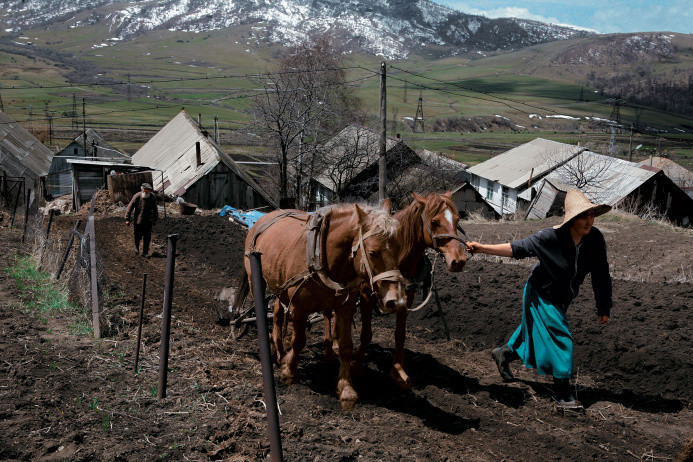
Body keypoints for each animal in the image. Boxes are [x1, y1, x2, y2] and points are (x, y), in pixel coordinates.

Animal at [241, 204, 408, 410]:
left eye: (399, 249)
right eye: (373, 253)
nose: (397, 301)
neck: (321, 255)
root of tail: (264, 217)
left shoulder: (345, 307)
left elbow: (345, 347)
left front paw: (346, 390)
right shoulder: (299, 308)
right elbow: (299, 341)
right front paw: (289, 372)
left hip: (281, 288)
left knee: (278, 315)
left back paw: (279, 350)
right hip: (255, 280)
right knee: (265, 312)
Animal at [348, 191, 468, 390]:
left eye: (457, 220)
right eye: (434, 222)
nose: (458, 260)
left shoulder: (406, 297)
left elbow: (400, 335)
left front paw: (398, 372)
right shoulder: (366, 295)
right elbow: (366, 333)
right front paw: (357, 366)